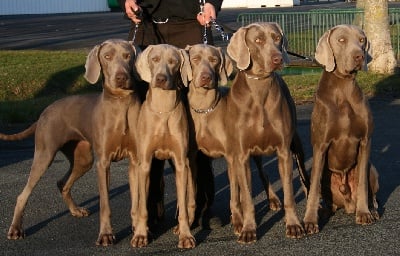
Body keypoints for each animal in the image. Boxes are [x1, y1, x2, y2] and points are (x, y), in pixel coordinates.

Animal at [0, 38, 141, 246]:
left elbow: (137, 200)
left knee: (62, 182)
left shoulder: (135, 160)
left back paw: (75, 210)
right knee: (22, 194)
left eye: (127, 56)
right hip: (45, 153)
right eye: (107, 56)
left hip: (83, 158)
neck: (120, 104)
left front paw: (138, 229)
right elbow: (105, 203)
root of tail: (44, 112)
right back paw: (16, 229)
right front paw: (106, 234)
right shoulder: (103, 162)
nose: (121, 77)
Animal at [131, 43, 195, 248]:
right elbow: (143, 207)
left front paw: (186, 235)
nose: (160, 78)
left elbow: (183, 207)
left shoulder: (181, 163)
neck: (163, 109)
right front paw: (141, 235)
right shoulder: (145, 164)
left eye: (173, 62)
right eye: (155, 59)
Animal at [222, 21, 310, 242]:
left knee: (302, 174)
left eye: (277, 38)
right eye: (258, 40)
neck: (259, 87)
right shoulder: (242, 155)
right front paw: (248, 229)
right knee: (256, 176)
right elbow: (247, 198)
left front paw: (294, 225)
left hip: (296, 144)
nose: (277, 58)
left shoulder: (284, 152)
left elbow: (289, 194)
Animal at [304, 24, 380, 234]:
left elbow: (362, 184)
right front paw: (309, 221)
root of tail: (346, 204)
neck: (343, 87)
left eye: (362, 40)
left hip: (373, 169)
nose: (359, 56)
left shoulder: (365, 141)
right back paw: (323, 211)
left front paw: (364, 213)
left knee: (371, 191)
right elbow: (314, 189)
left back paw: (372, 210)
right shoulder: (320, 145)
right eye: (341, 40)